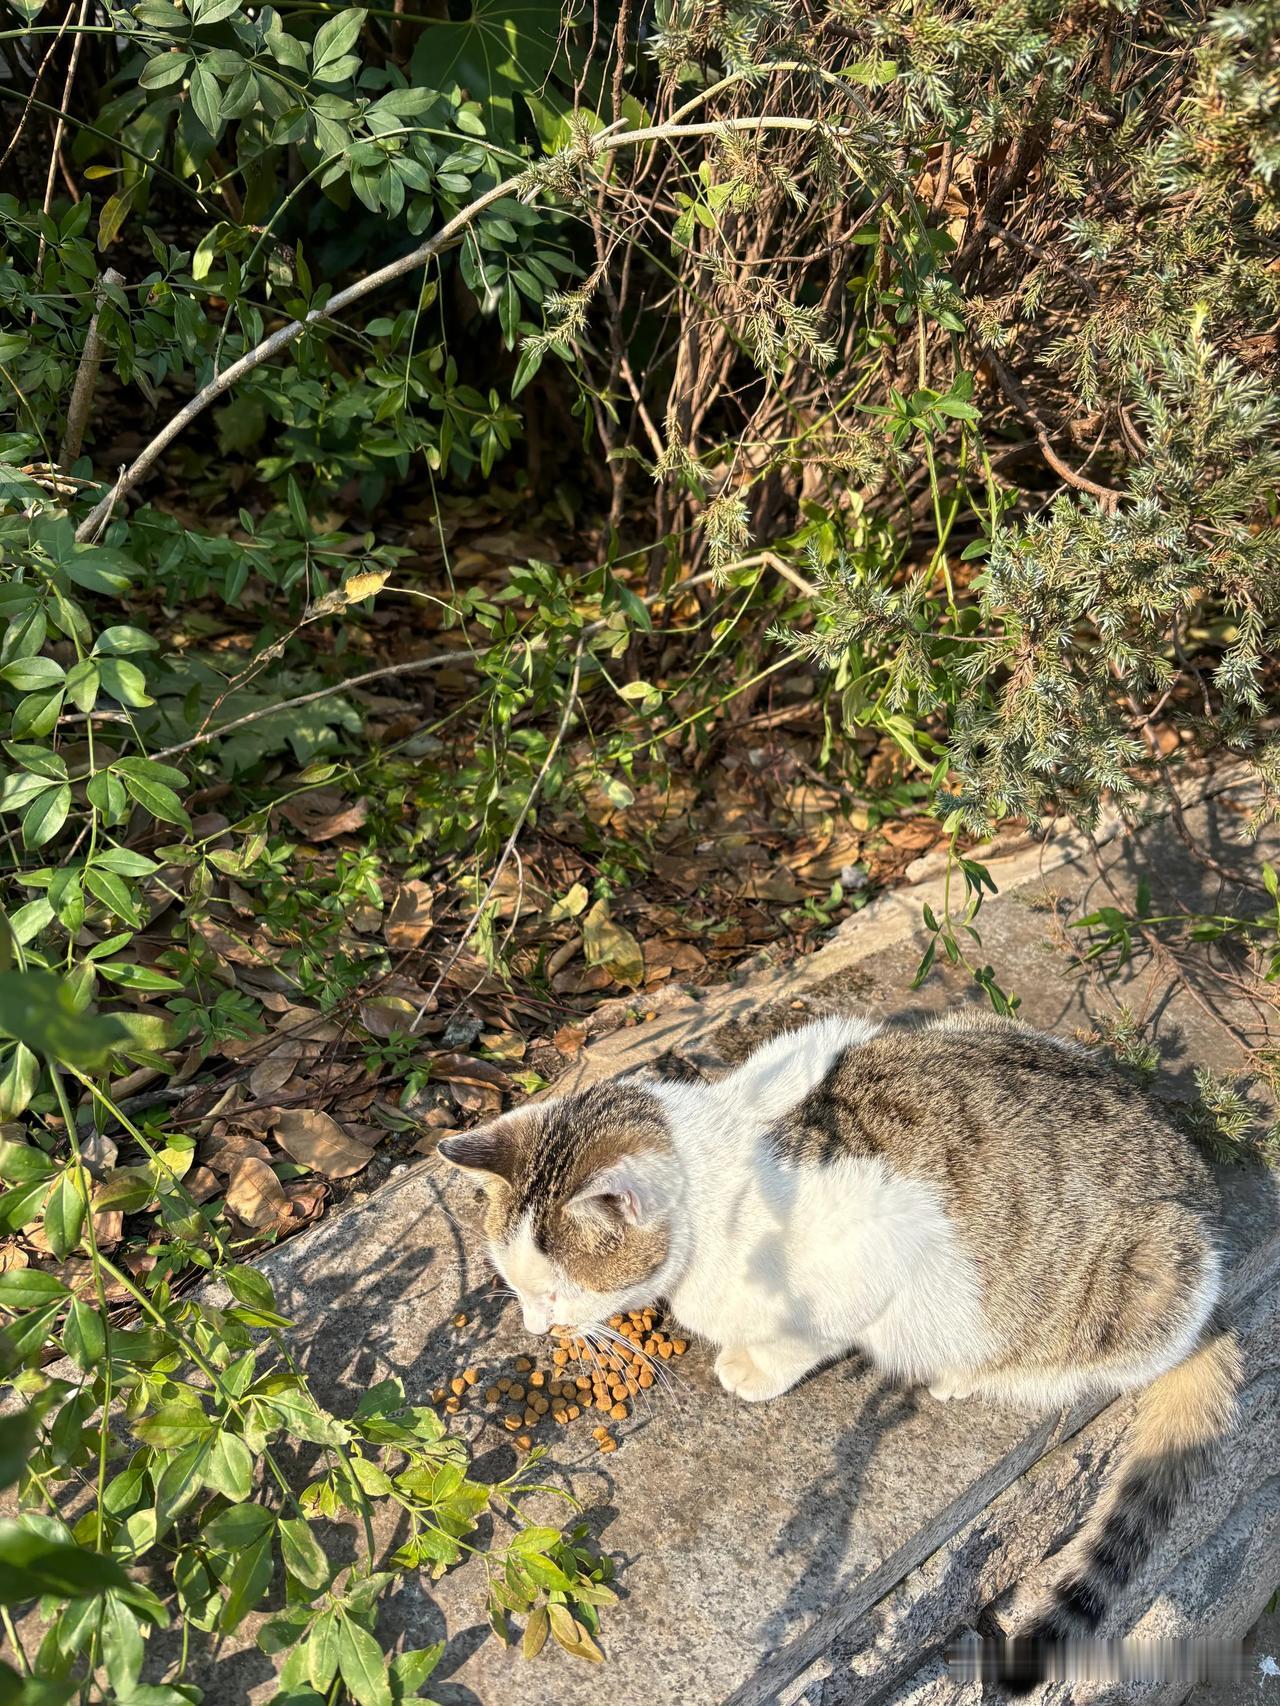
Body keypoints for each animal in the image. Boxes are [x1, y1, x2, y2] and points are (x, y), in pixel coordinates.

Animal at [440, 1009, 1242, 1692]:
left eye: (557, 1292)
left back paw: (960, 1375)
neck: (719, 1167)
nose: (537, 1329)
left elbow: (807, 1335)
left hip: (1138, 1288)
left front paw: (753, 1365)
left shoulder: (873, 1253)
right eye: (515, 1282)